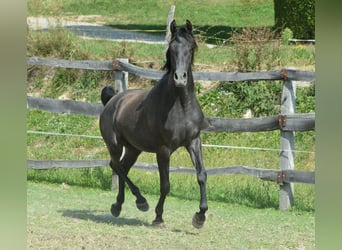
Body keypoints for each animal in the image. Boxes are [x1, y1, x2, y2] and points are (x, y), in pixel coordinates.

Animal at [99, 20, 208, 229]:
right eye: (171, 49)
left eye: (191, 48)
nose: (180, 78)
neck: (180, 105)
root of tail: (112, 101)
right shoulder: (163, 150)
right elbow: (165, 185)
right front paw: (158, 217)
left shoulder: (193, 142)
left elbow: (201, 175)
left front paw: (200, 216)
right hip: (115, 144)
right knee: (116, 165)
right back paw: (141, 202)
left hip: (133, 148)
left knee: (122, 167)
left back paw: (118, 206)